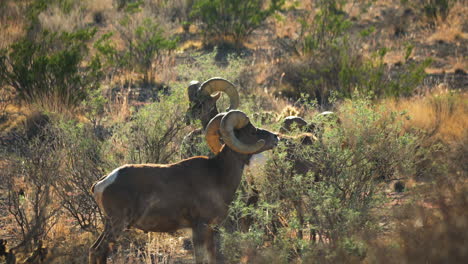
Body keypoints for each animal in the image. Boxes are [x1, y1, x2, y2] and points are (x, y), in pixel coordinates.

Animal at [88, 110, 278, 264]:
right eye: (252, 131)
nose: (276, 137)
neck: (218, 176)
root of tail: (101, 184)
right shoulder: (200, 228)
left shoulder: (209, 231)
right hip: (117, 224)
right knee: (99, 251)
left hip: (109, 225)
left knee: (94, 250)